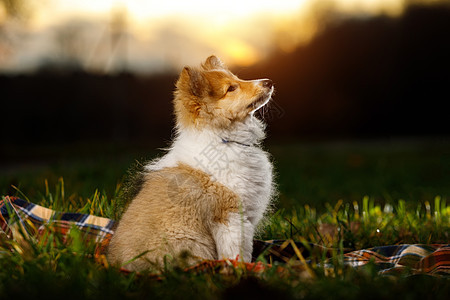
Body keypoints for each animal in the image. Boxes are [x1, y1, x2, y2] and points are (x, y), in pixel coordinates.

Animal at [107, 55, 276, 270]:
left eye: (237, 78)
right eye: (231, 88)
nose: (269, 82)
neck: (223, 140)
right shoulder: (230, 217)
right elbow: (237, 254)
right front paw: (241, 270)